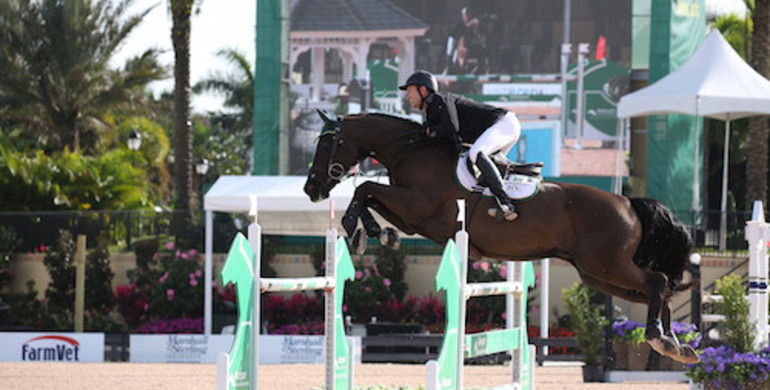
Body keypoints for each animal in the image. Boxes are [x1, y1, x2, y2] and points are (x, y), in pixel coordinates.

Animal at [304, 111, 700, 364]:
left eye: (325, 145)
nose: (311, 189)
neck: (411, 149)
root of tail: (628, 203)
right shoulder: (414, 217)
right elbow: (370, 196)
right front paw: (375, 232)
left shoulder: (417, 207)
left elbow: (366, 189)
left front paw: (361, 230)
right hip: (598, 274)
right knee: (660, 289)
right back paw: (676, 346)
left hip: (608, 265)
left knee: (658, 281)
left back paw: (660, 338)